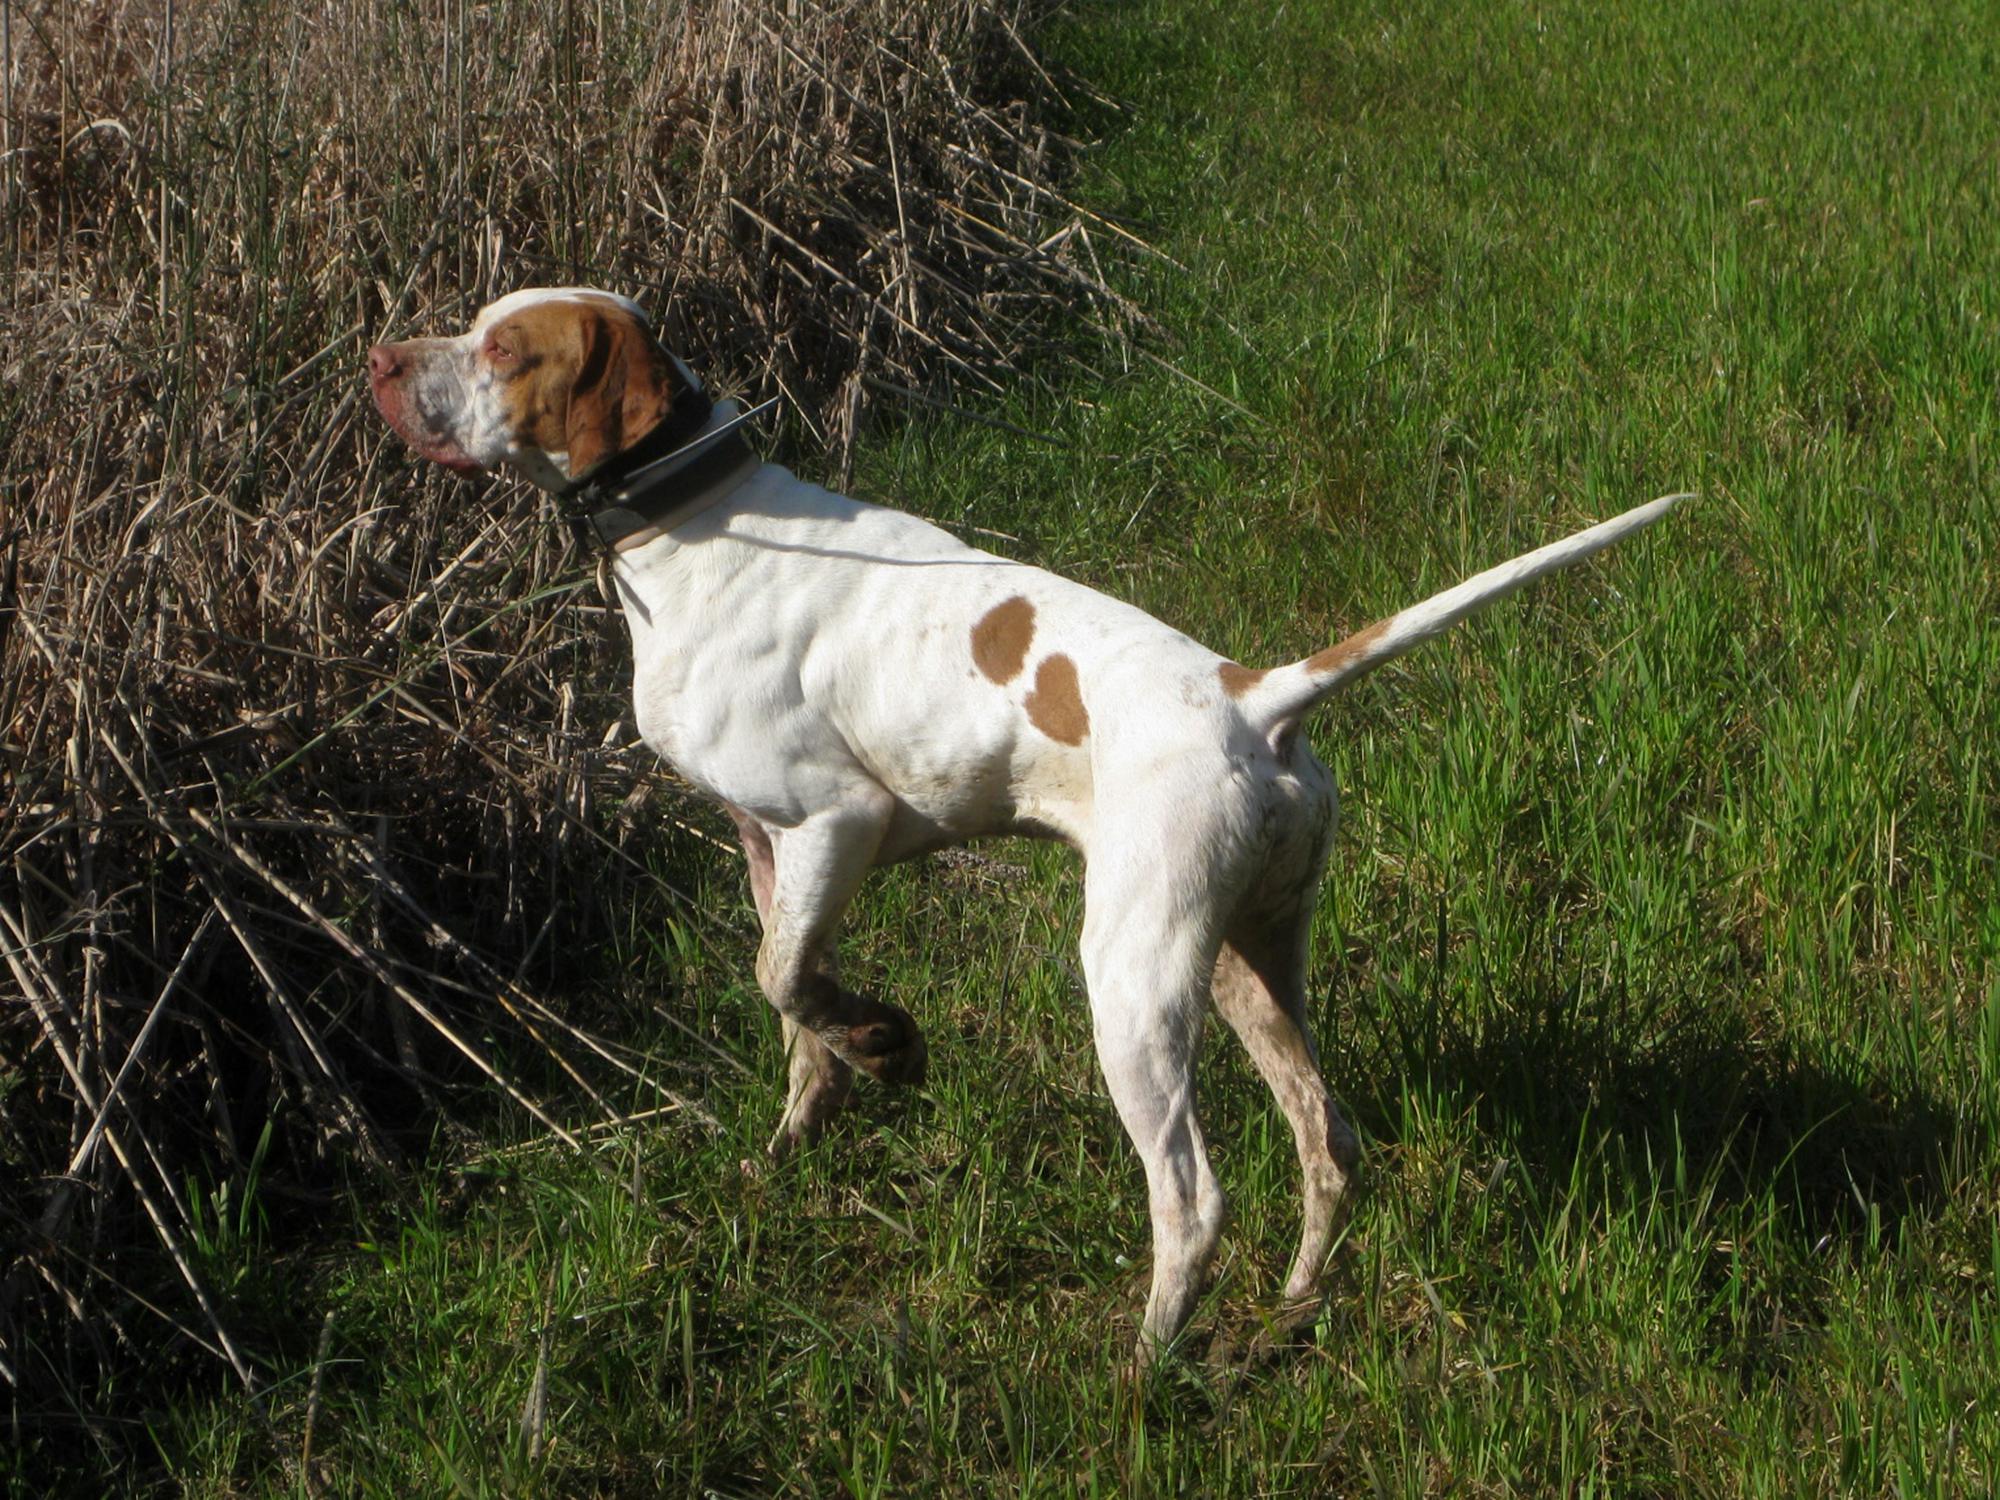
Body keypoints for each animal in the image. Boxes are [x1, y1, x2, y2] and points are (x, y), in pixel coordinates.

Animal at [368, 288, 1680, 1368]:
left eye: (502, 348)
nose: (380, 359)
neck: (699, 524)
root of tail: (1256, 695)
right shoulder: (766, 844)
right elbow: (789, 1002)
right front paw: (809, 1121)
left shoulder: (834, 817)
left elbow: (783, 978)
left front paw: (885, 1044)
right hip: (1252, 961)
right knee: (1328, 1142)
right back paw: (1290, 1314)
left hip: (1132, 984)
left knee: (1190, 1200)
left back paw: (1146, 1370)